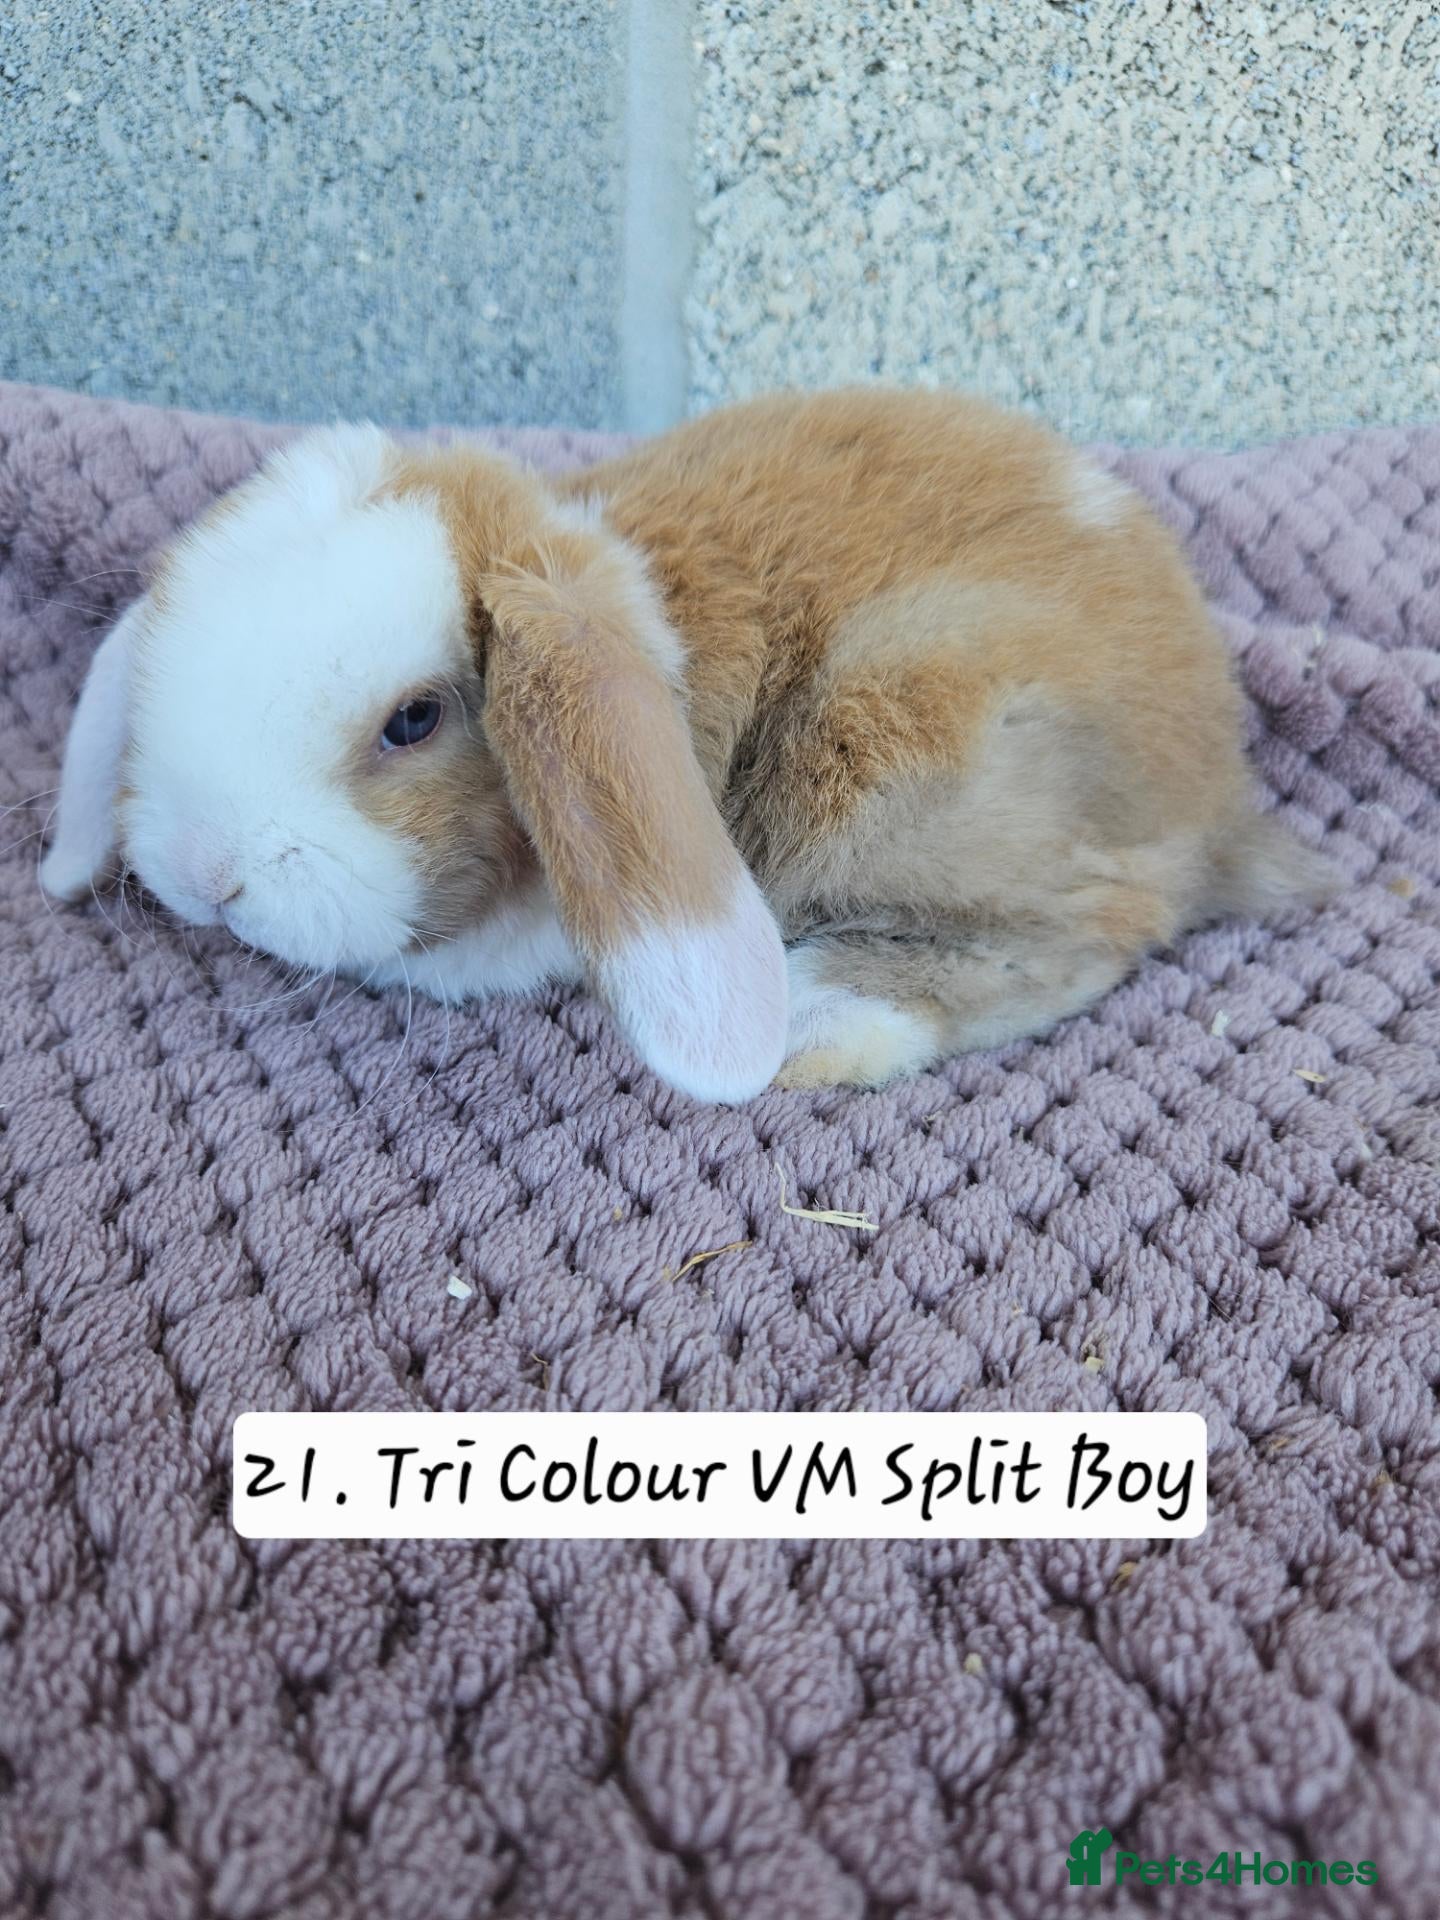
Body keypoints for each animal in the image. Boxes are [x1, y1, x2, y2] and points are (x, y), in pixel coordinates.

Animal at [39, 387, 1331, 1101]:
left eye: (414, 719)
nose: (205, 873)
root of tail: (1219, 798)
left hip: (899, 747)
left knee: (1100, 933)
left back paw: (821, 1017)